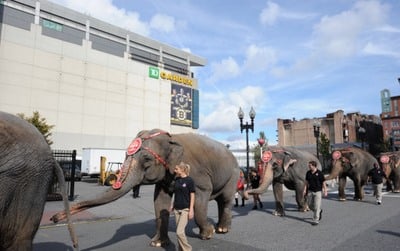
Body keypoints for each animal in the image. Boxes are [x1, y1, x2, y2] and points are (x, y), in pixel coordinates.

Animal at [51, 129, 239, 247]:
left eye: (147, 159)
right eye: (125, 155)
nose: (53, 217)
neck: (171, 137)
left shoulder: (197, 173)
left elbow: (199, 198)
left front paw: (207, 234)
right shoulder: (164, 177)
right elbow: (160, 202)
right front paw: (157, 243)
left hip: (233, 175)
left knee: (227, 199)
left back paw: (222, 230)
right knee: (221, 201)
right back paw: (220, 227)